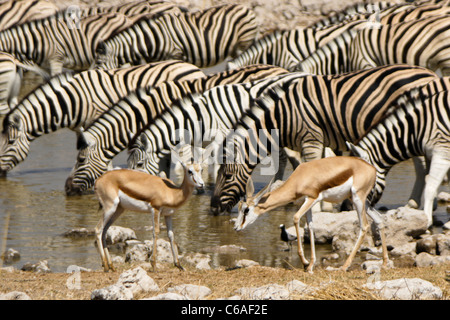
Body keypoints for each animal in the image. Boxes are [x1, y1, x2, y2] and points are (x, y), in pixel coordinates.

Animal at [63, 64, 288, 195]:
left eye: (80, 160)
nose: (67, 189)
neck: (152, 109)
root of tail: (283, 70)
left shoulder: (180, 140)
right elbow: (163, 168)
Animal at [209, 64, 438, 215]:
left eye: (227, 176)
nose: (212, 208)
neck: (283, 115)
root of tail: (430, 73)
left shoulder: (311, 138)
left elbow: (312, 172)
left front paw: (315, 209)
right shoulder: (319, 140)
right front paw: (326, 206)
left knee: (424, 165)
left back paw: (418, 204)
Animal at [346, 78, 448, 226]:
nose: (350, 208)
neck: (417, 127)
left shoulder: (442, 153)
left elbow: (430, 186)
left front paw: (427, 220)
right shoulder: (430, 154)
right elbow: (428, 178)